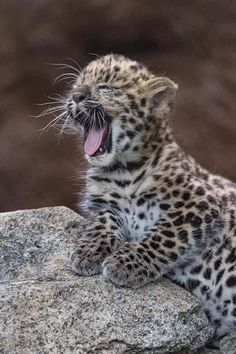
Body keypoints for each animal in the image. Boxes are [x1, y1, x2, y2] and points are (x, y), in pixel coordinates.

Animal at [61, 54, 236, 348]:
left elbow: (165, 236)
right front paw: (88, 252)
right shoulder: (103, 203)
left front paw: (125, 265)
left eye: (106, 87)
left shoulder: (204, 203)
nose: (75, 96)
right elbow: (103, 221)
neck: (123, 171)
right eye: (77, 85)